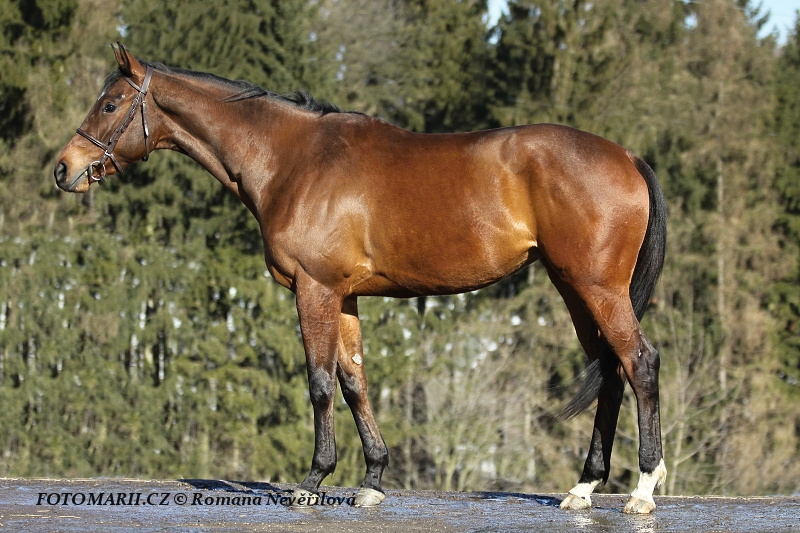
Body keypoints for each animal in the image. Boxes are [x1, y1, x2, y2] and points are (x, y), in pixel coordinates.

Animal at [53, 42, 668, 512]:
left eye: (110, 103)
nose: (63, 169)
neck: (293, 159)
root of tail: (627, 156)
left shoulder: (314, 289)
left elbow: (321, 383)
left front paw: (312, 480)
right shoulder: (344, 296)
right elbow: (354, 382)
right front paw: (372, 479)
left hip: (596, 288)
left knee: (639, 362)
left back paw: (643, 489)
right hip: (574, 289)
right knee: (611, 370)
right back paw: (584, 488)